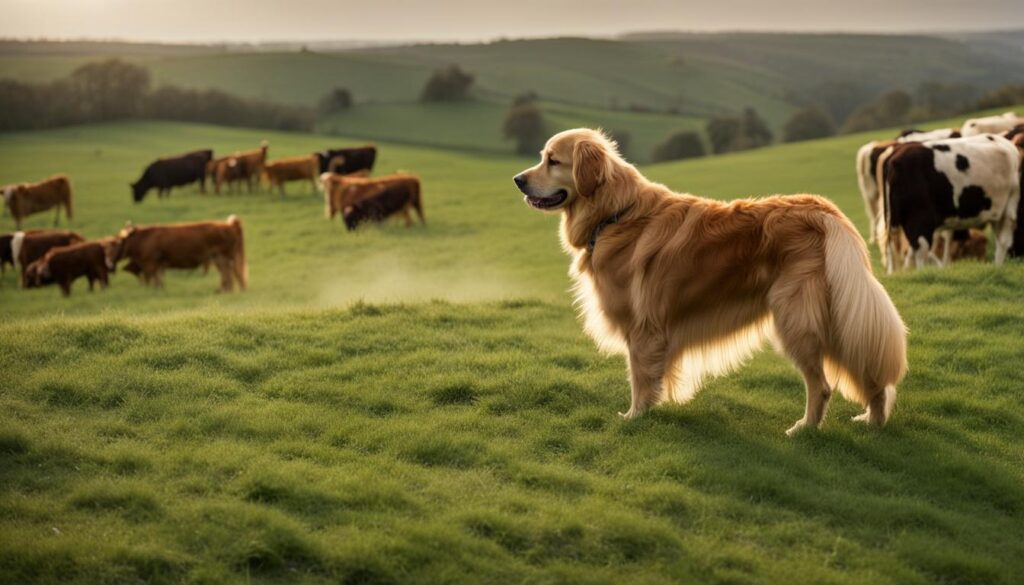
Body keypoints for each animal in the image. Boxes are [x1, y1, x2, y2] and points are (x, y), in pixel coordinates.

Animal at [107, 215, 245, 293]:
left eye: (117, 242)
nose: (108, 262)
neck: (144, 238)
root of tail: (229, 225)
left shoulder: (152, 263)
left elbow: (155, 278)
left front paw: (155, 290)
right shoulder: (159, 264)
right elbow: (159, 277)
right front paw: (160, 289)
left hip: (223, 256)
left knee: (227, 272)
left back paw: (225, 290)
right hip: (217, 257)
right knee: (227, 272)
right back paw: (224, 289)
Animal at [516, 129, 909, 434]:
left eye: (553, 160)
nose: (517, 180)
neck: (616, 214)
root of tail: (822, 211)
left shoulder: (642, 330)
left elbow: (640, 378)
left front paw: (635, 417)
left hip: (796, 320)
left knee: (823, 385)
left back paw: (804, 429)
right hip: (839, 313)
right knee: (870, 374)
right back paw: (873, 422)